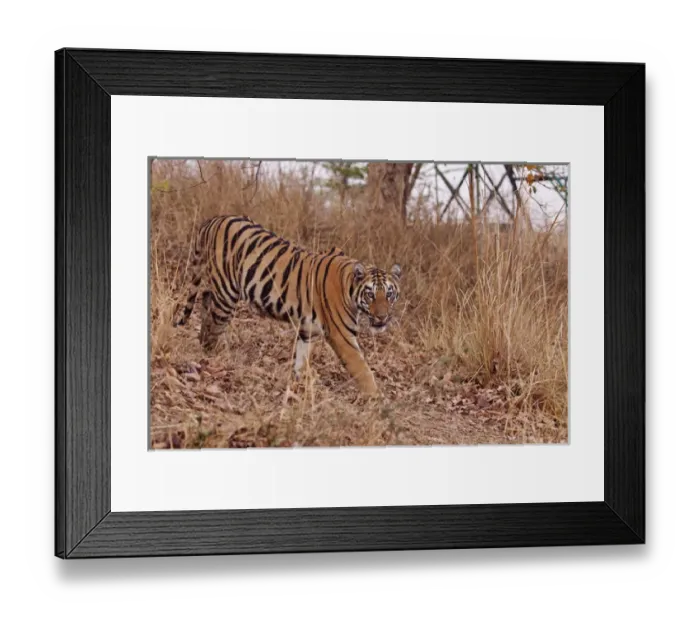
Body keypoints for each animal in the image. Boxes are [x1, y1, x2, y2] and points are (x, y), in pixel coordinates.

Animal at [173, 215, 402, 396]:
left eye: (389, 294)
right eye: (370, 294)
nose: (382, 318)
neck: (349, 287)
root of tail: (213, 220)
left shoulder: (308, 329)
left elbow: (302, 357)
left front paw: (300, 382)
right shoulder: (342, 336)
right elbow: (362, 369)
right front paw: (377, 400)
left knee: (205, 298)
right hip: (226, 291)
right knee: (214, 320)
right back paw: (212, 352)